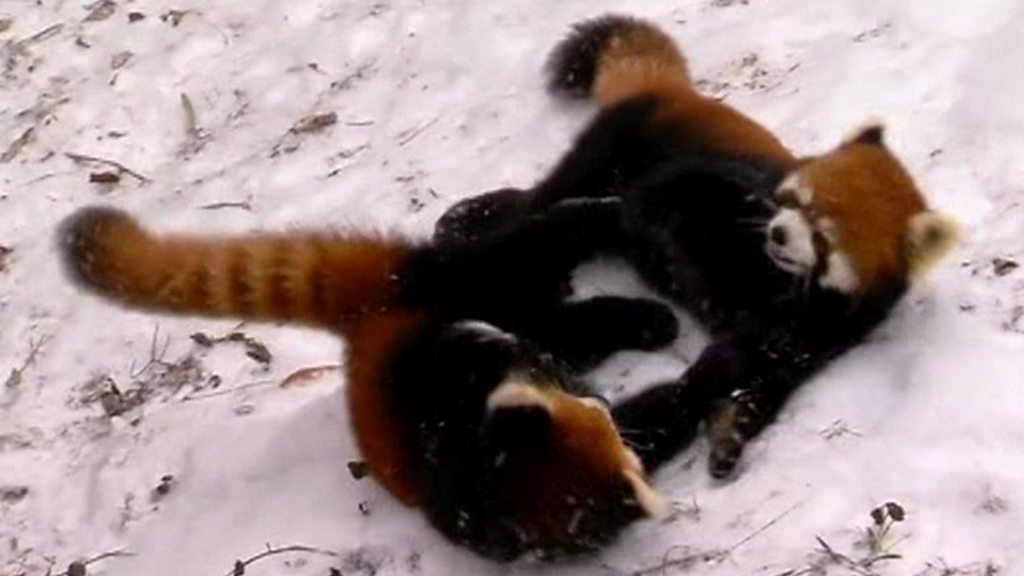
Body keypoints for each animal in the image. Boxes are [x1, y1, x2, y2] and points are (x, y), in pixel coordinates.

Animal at [58, 199, 679, 557]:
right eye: (599, 421)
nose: (596, 404)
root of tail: (368, 321)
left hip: (461, 287)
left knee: (521, 255)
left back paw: (600, 213)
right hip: (497, 301)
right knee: (554, 300)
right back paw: (643, 308)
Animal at [432, 14, 958, 475]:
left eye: (823, 235)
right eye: (792, 201)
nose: (777, 233)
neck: (777, 281)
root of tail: (674, 90)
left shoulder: (812, 332)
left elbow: (754, 373)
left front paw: (732, 427)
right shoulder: (718, 189)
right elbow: (667, 199)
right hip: (614, 148)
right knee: (548, 194)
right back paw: (472, 218)